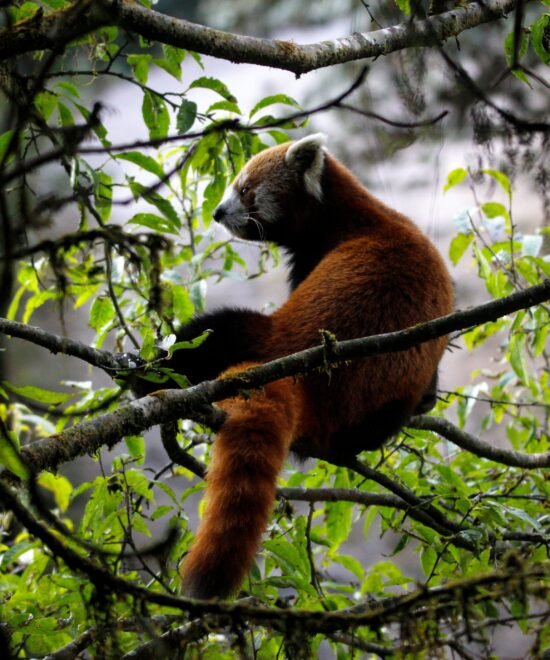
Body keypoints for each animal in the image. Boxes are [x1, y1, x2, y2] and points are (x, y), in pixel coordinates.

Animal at [170, 134, 454, 600]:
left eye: (246, 190)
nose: (217, 212)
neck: (347, 215)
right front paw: (429, 402)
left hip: (269, 338)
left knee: (213, 330)